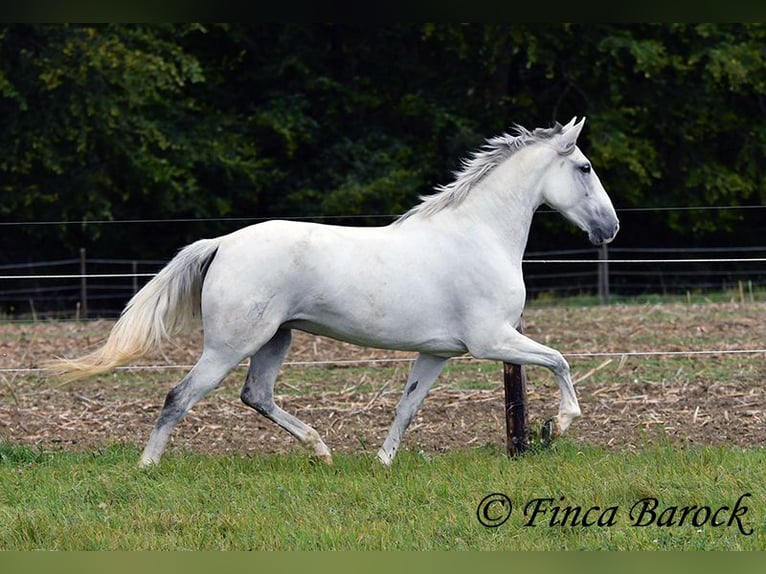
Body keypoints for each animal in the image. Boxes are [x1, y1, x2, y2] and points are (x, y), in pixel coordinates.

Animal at [48, 116, 620, 468]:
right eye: (586, 167)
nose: (610, 229)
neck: (478, 234)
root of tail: (223, 243)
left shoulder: (438, 352)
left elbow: (407, 407)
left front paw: (382, 463)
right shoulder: (493, 340)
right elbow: (560, 360)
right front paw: (560, 424)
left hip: (275, 340)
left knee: (255, 395)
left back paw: (321, 450)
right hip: (231, 345)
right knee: (179, 396)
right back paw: (147, 466)